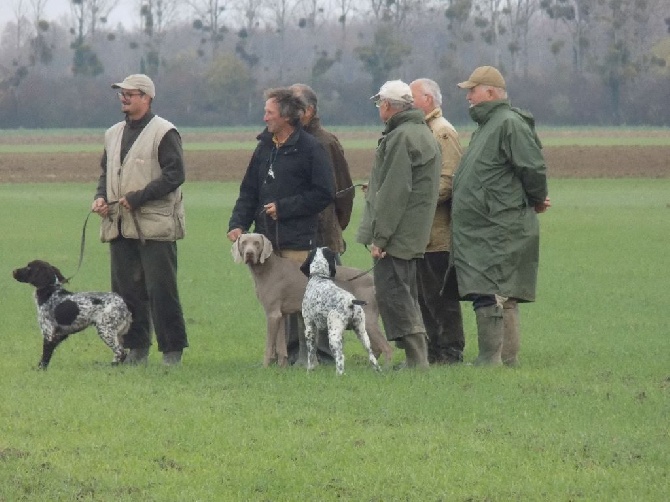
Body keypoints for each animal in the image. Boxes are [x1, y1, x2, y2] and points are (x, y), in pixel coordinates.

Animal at [231, 232, 394, 368]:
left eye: (257, 243)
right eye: (244, 242)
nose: (249, 253)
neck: (267, 269)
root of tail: (371, 278)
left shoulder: (272, 314)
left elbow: (269, 345)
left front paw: (265, 367)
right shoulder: (280, 315)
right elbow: (281, 346)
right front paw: (281, 367)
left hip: (369, 320)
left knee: (387, 348)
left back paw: (386, 370)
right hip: (361, 323)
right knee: (376, 347)